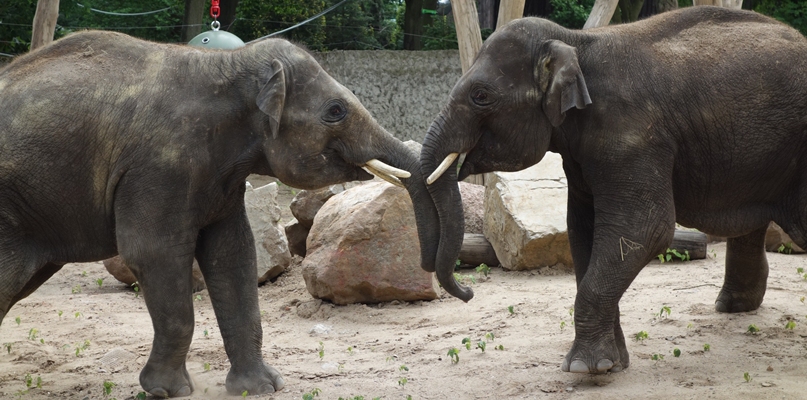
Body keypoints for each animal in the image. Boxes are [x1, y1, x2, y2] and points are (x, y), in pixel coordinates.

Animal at [0, 30, 442, 396]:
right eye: (335, 111)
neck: (224, 65)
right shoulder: (159, 166)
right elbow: (154, 253)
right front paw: (166, 391)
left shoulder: (221, 178)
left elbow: (234, 255)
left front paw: (262, 388)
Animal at [414, 6, 807, 376]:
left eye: (480, 95)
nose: (468, 293)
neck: (576, 42)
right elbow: (582, 231)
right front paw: (612, 364)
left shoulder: (631, 136)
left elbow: (643, 230)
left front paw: (584, 369)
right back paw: (733, 307)